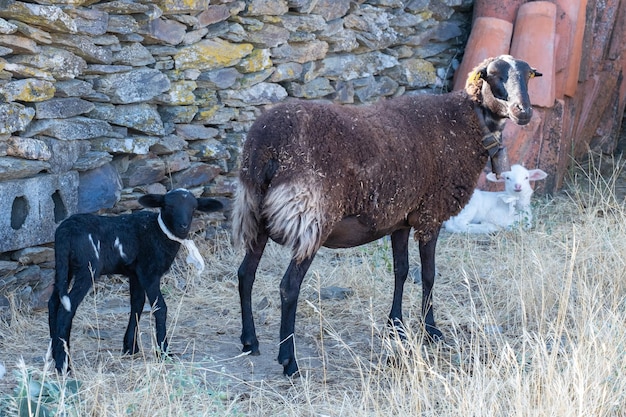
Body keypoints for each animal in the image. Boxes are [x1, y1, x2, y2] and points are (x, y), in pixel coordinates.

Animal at [49, 187, 224, 372]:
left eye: (194, 207)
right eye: (168, 205)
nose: (183, 226)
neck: (159, 232)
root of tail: (65, 231)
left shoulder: (135, 274)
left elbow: (137, 305)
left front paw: (130, 347)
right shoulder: (149, 272)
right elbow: (160, 307)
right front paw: (164, 352)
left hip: (64, 266)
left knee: (54, 302)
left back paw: (55, 353)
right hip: (87, 268)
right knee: (67, 309)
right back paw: (64, 364)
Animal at [232, 53, 540, 376]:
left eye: (529, 75)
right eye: (494, 75)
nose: (524, 112)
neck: (466, 121)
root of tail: (266, 145)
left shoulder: (400, 219)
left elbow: (401, 271)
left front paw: (396, 326)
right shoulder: (431, 214)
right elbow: (428, 274)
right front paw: (431, 330)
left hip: (254, 213)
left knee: (245, 274)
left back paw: (250, 340)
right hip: (310, 216)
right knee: (289, 287)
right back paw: (289, 361)